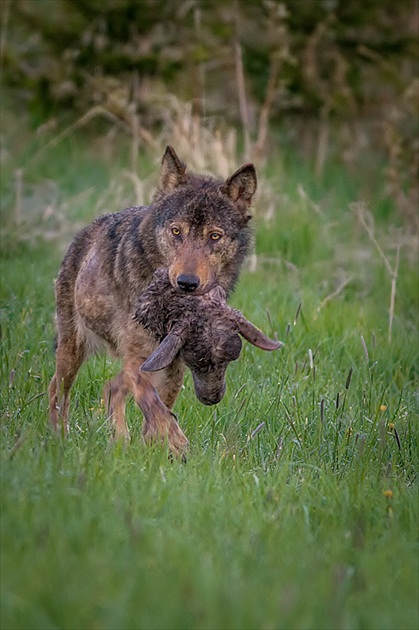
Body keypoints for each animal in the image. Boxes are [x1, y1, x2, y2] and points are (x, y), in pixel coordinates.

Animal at [48, 146, 260, 456]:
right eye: (176, 231)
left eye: (214, 236)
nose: (187, 283)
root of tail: (86, 230)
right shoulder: (139, 360)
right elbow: (155, 406)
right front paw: (175, 443)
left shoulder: (173, 365)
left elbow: (161, 408)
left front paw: (156, 451)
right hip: (71, 350)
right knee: (57, 390)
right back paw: (58, 438)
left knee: (110, 388)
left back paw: (119, 440)